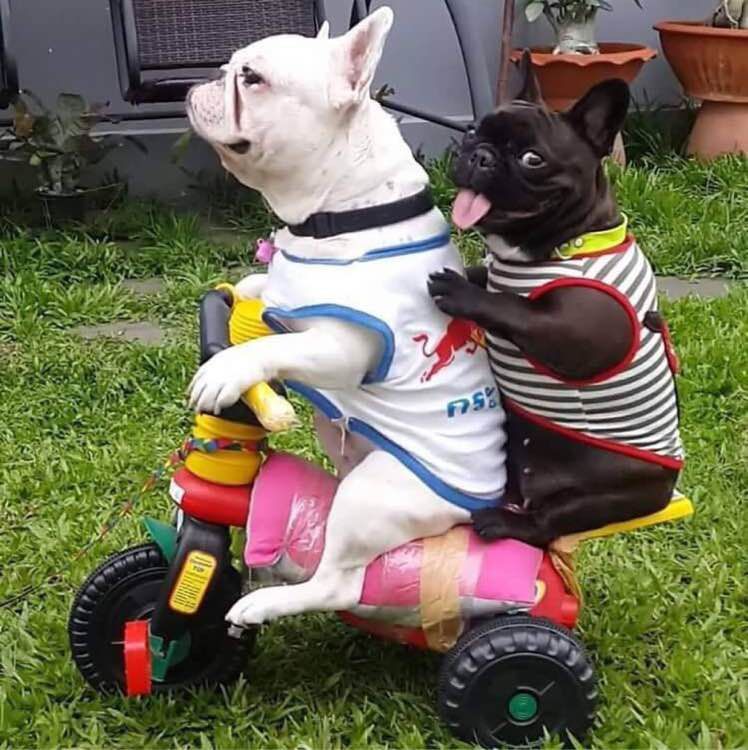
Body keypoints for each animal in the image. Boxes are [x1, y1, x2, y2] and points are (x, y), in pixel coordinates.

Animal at [186, 8, 507, 627]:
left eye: (252, 78)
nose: (204, 80)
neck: (341, 211)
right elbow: (263, 294)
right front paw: (242, 295)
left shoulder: (342, 348)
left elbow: (275, 346)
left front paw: (227, 368)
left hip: (371, 495)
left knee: (339, 584)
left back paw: (262, 603)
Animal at [427, 53, 684, 549]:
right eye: (473, 131)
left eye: (532, 159)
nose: (480, 155)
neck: (561, 244)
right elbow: (487, 278)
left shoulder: (575, 332)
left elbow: (516, 309)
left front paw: (460, 292)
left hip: (597, 497)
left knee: (545, 526)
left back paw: (500, 522)